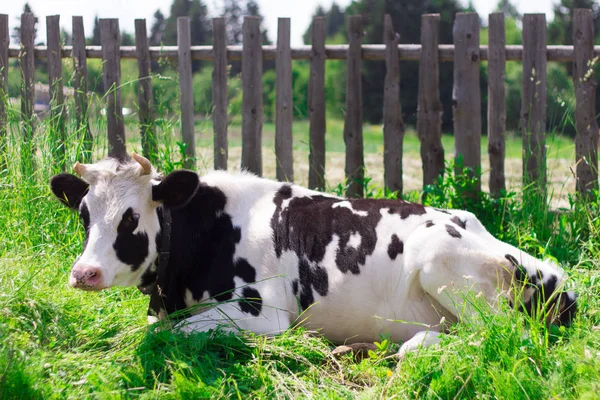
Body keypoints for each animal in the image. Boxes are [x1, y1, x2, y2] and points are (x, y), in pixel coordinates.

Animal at [48, 152, 576, 356]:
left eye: (131, 217)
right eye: (84, 214)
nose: (84, 273)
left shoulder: (261, 313)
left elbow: (173, 332)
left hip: (443, 262)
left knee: (500, 336)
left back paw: (412, 346)